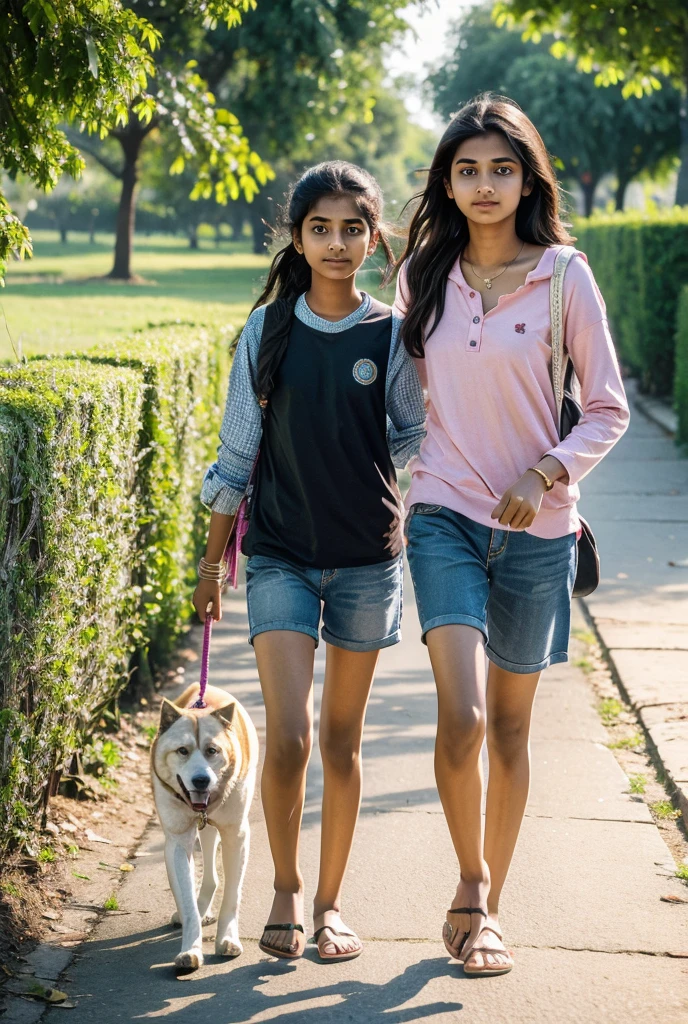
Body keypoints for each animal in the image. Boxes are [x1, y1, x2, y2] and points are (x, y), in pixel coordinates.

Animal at [150, 684, 258, 970]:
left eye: (212, 750)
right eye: (182, 751)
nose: (201, 780)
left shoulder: (236, 835)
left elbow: (232, 894)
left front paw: (228, 940)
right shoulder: (178, 841)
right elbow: (187, 901)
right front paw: (191, 949)